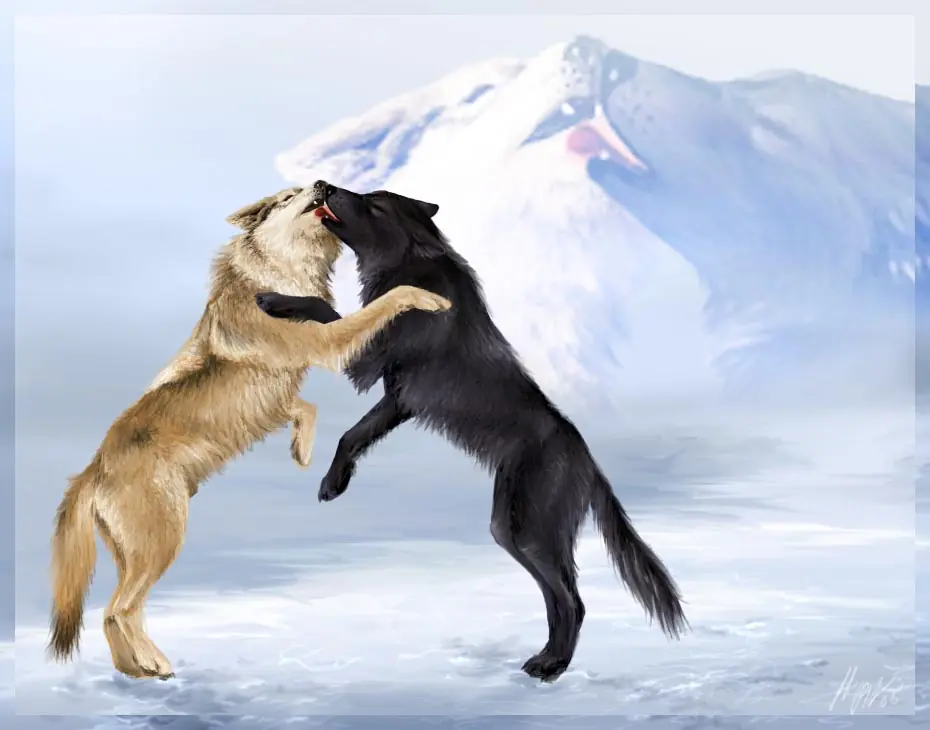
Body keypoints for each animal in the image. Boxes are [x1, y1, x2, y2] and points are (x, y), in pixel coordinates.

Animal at [48, 182, 452, 680]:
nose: (321, 184)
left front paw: (301, 451)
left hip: (140, 551)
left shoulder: (282, 393)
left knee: (118, 611)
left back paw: (139, 669)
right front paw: (426, 295)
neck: (276, 276)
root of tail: (91, 471)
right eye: (288, 197)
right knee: (117, 609)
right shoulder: (327, 345)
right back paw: (151, 663)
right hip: (163, 542)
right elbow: (380, 304)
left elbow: (305, 408)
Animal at [256, 181, 688, 683]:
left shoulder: (368, 366)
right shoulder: (399, 400)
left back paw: (552, 665)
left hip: (527, 530)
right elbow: (354, 434)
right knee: (558, 599)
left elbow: (326, 312)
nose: (324, 186)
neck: (413, 261)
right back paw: (547, 658)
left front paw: (273, 301)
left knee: (573, 601)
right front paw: (335, 481)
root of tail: (592, 466)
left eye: (372, 202)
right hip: (512, 528)